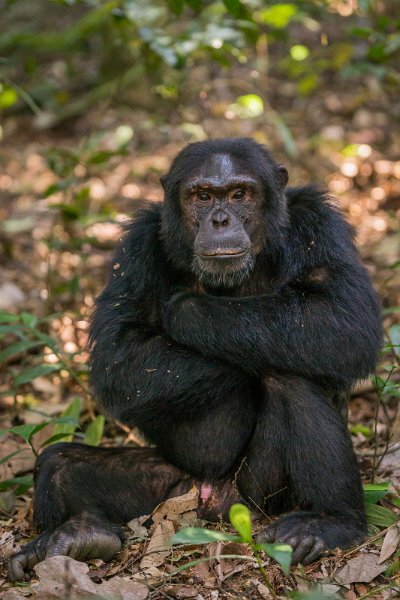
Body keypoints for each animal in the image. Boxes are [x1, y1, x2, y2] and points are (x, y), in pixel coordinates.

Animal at [7, 137, 380, 580]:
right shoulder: (137, 245)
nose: (219, 220)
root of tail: (208, 501)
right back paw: (78, 533)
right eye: (201, 196)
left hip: (256, 496)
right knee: (59, 464)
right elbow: (120, 357)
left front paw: (185, 308)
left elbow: (341, 319)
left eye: (239, 194)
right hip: (167, 490)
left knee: (292, 377)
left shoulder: (319, 224)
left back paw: (329, 522)